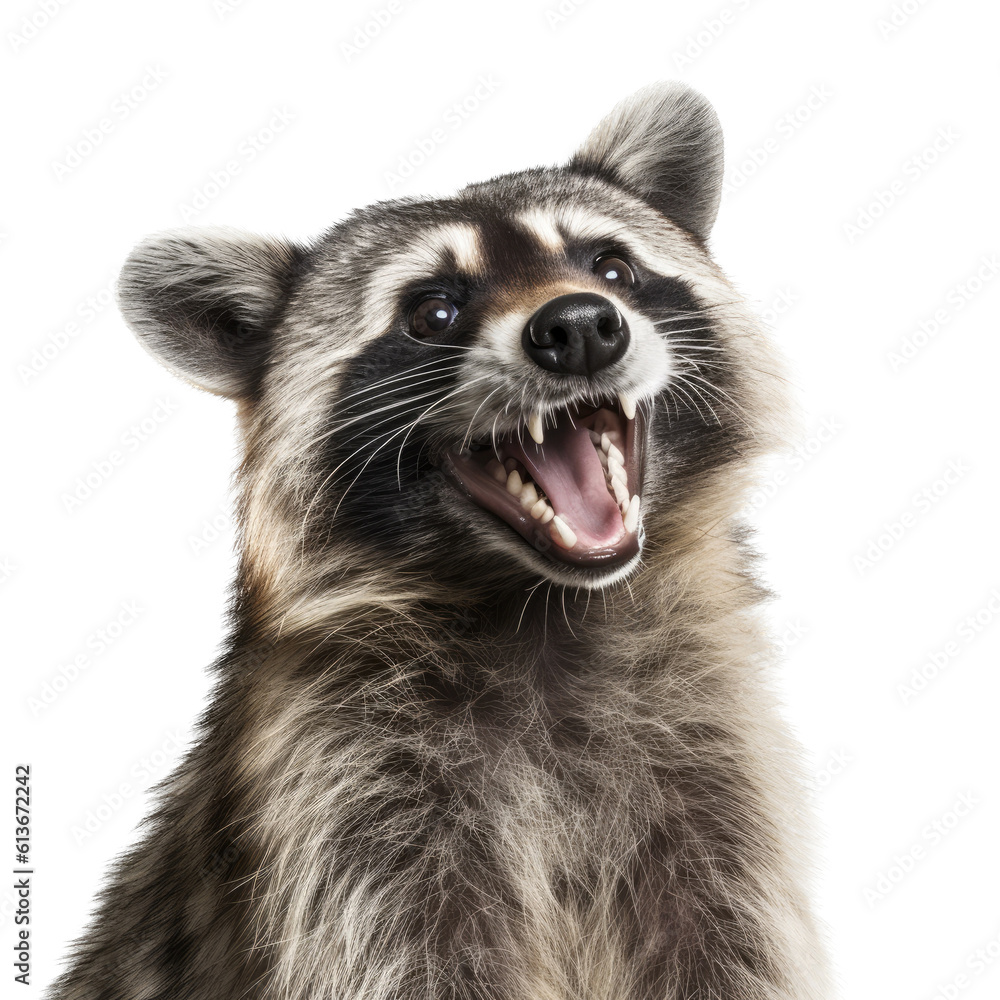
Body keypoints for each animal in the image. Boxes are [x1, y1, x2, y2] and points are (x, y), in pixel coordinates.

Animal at [49, 82, 829, 1000]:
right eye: (433, 312)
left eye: (612, 267)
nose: (581, 326)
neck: (545, 603)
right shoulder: (344, 809)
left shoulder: (718, 779)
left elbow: (731, 949)